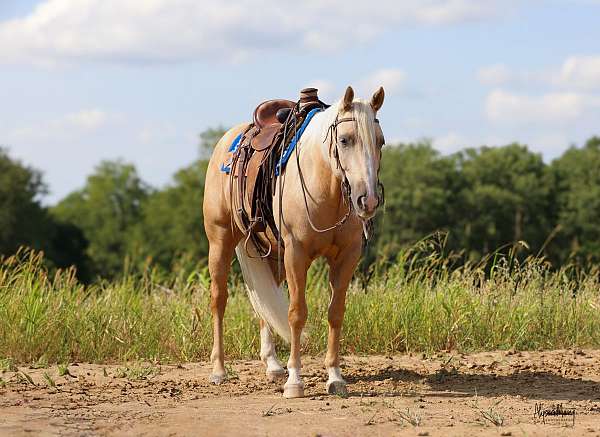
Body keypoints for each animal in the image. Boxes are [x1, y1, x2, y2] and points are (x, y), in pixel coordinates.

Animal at [204, 86, 386, 398]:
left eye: (381, 142)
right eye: (344, 140)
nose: (368, 200)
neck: (325, 185)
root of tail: (227, 141)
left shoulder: (347, 257)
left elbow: (335, 313)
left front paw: (335, 377)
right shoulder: (296, 254)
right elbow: (296, 314)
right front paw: (295, 381)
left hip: (272, 254)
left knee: (266, 302)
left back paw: (273, 366)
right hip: (220, 241)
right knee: (219, 299)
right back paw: (219, 370)